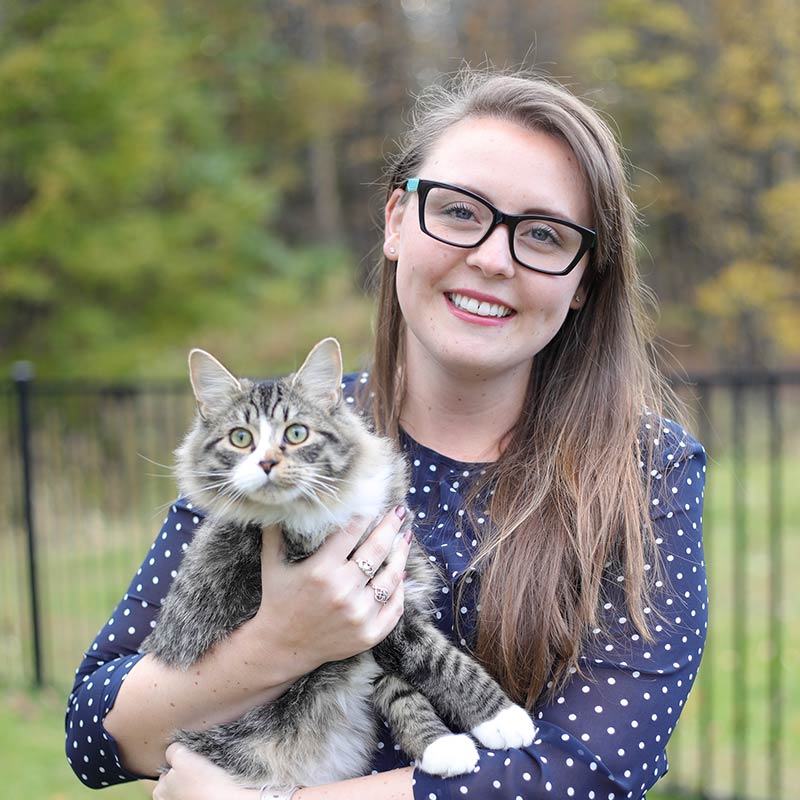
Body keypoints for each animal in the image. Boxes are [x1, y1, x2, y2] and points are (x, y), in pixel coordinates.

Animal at [142, 336, 536, 788]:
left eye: (296, 433)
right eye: (240, 438)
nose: (267, 463)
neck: (327, 507)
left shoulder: (385, 610)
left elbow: (403, 689)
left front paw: (440, 745)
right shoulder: (381, 620)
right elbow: (442, 662)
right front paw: (499, 720)